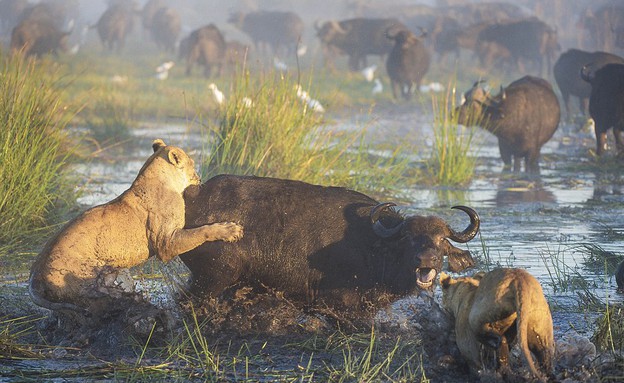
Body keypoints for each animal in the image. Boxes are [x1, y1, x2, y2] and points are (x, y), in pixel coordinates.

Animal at [178, 176, 480, 316]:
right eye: (407, 237)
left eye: (442, 240)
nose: (425, 259)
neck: (373, 247)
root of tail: (195, 197)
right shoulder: (337, 305)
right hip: (213, 278)